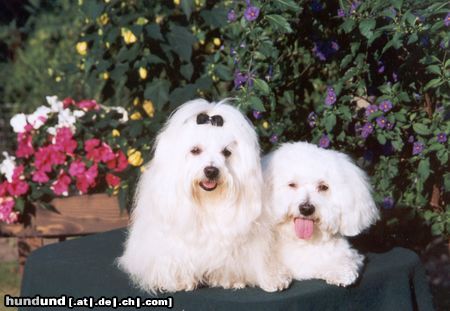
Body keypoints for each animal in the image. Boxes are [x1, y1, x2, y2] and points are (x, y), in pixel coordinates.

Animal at [118, 98, 290, 294]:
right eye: (195, 150)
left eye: (226, 152)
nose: (211, 171)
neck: (208, 201)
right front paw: (181, 282)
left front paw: (234, 279)